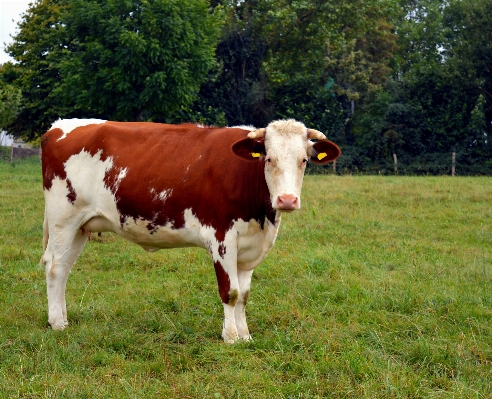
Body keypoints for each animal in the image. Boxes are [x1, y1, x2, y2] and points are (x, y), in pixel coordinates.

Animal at [40, 119, 340, 344]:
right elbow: (230, 292)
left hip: (81, 226)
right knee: (54, 267)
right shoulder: (222, 238)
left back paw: (62, 318)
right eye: (269, 159)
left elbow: (244, 295)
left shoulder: (251, 245)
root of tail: (57, 127)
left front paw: (245, 335)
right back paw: (57, 323)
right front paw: (230, 337)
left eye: (304, 160)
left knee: (64, 268)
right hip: (63, 219)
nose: (287, 200)